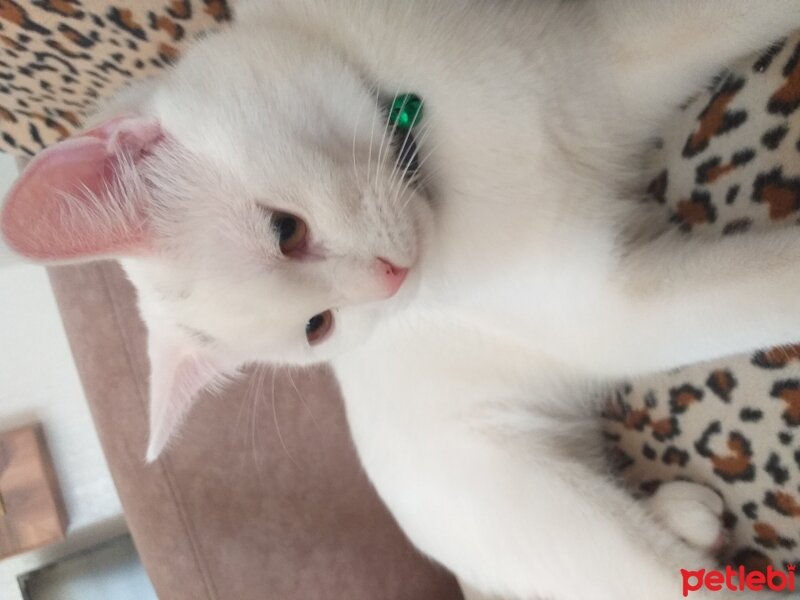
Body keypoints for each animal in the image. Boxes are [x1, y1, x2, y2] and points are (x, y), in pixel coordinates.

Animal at [1, 2, 800, 596]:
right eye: (319, 328)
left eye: (285, 230)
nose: (391, 279)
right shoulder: (607, 311)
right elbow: (763, 284)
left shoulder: (605, 55)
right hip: (581, 530)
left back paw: (689, 514)